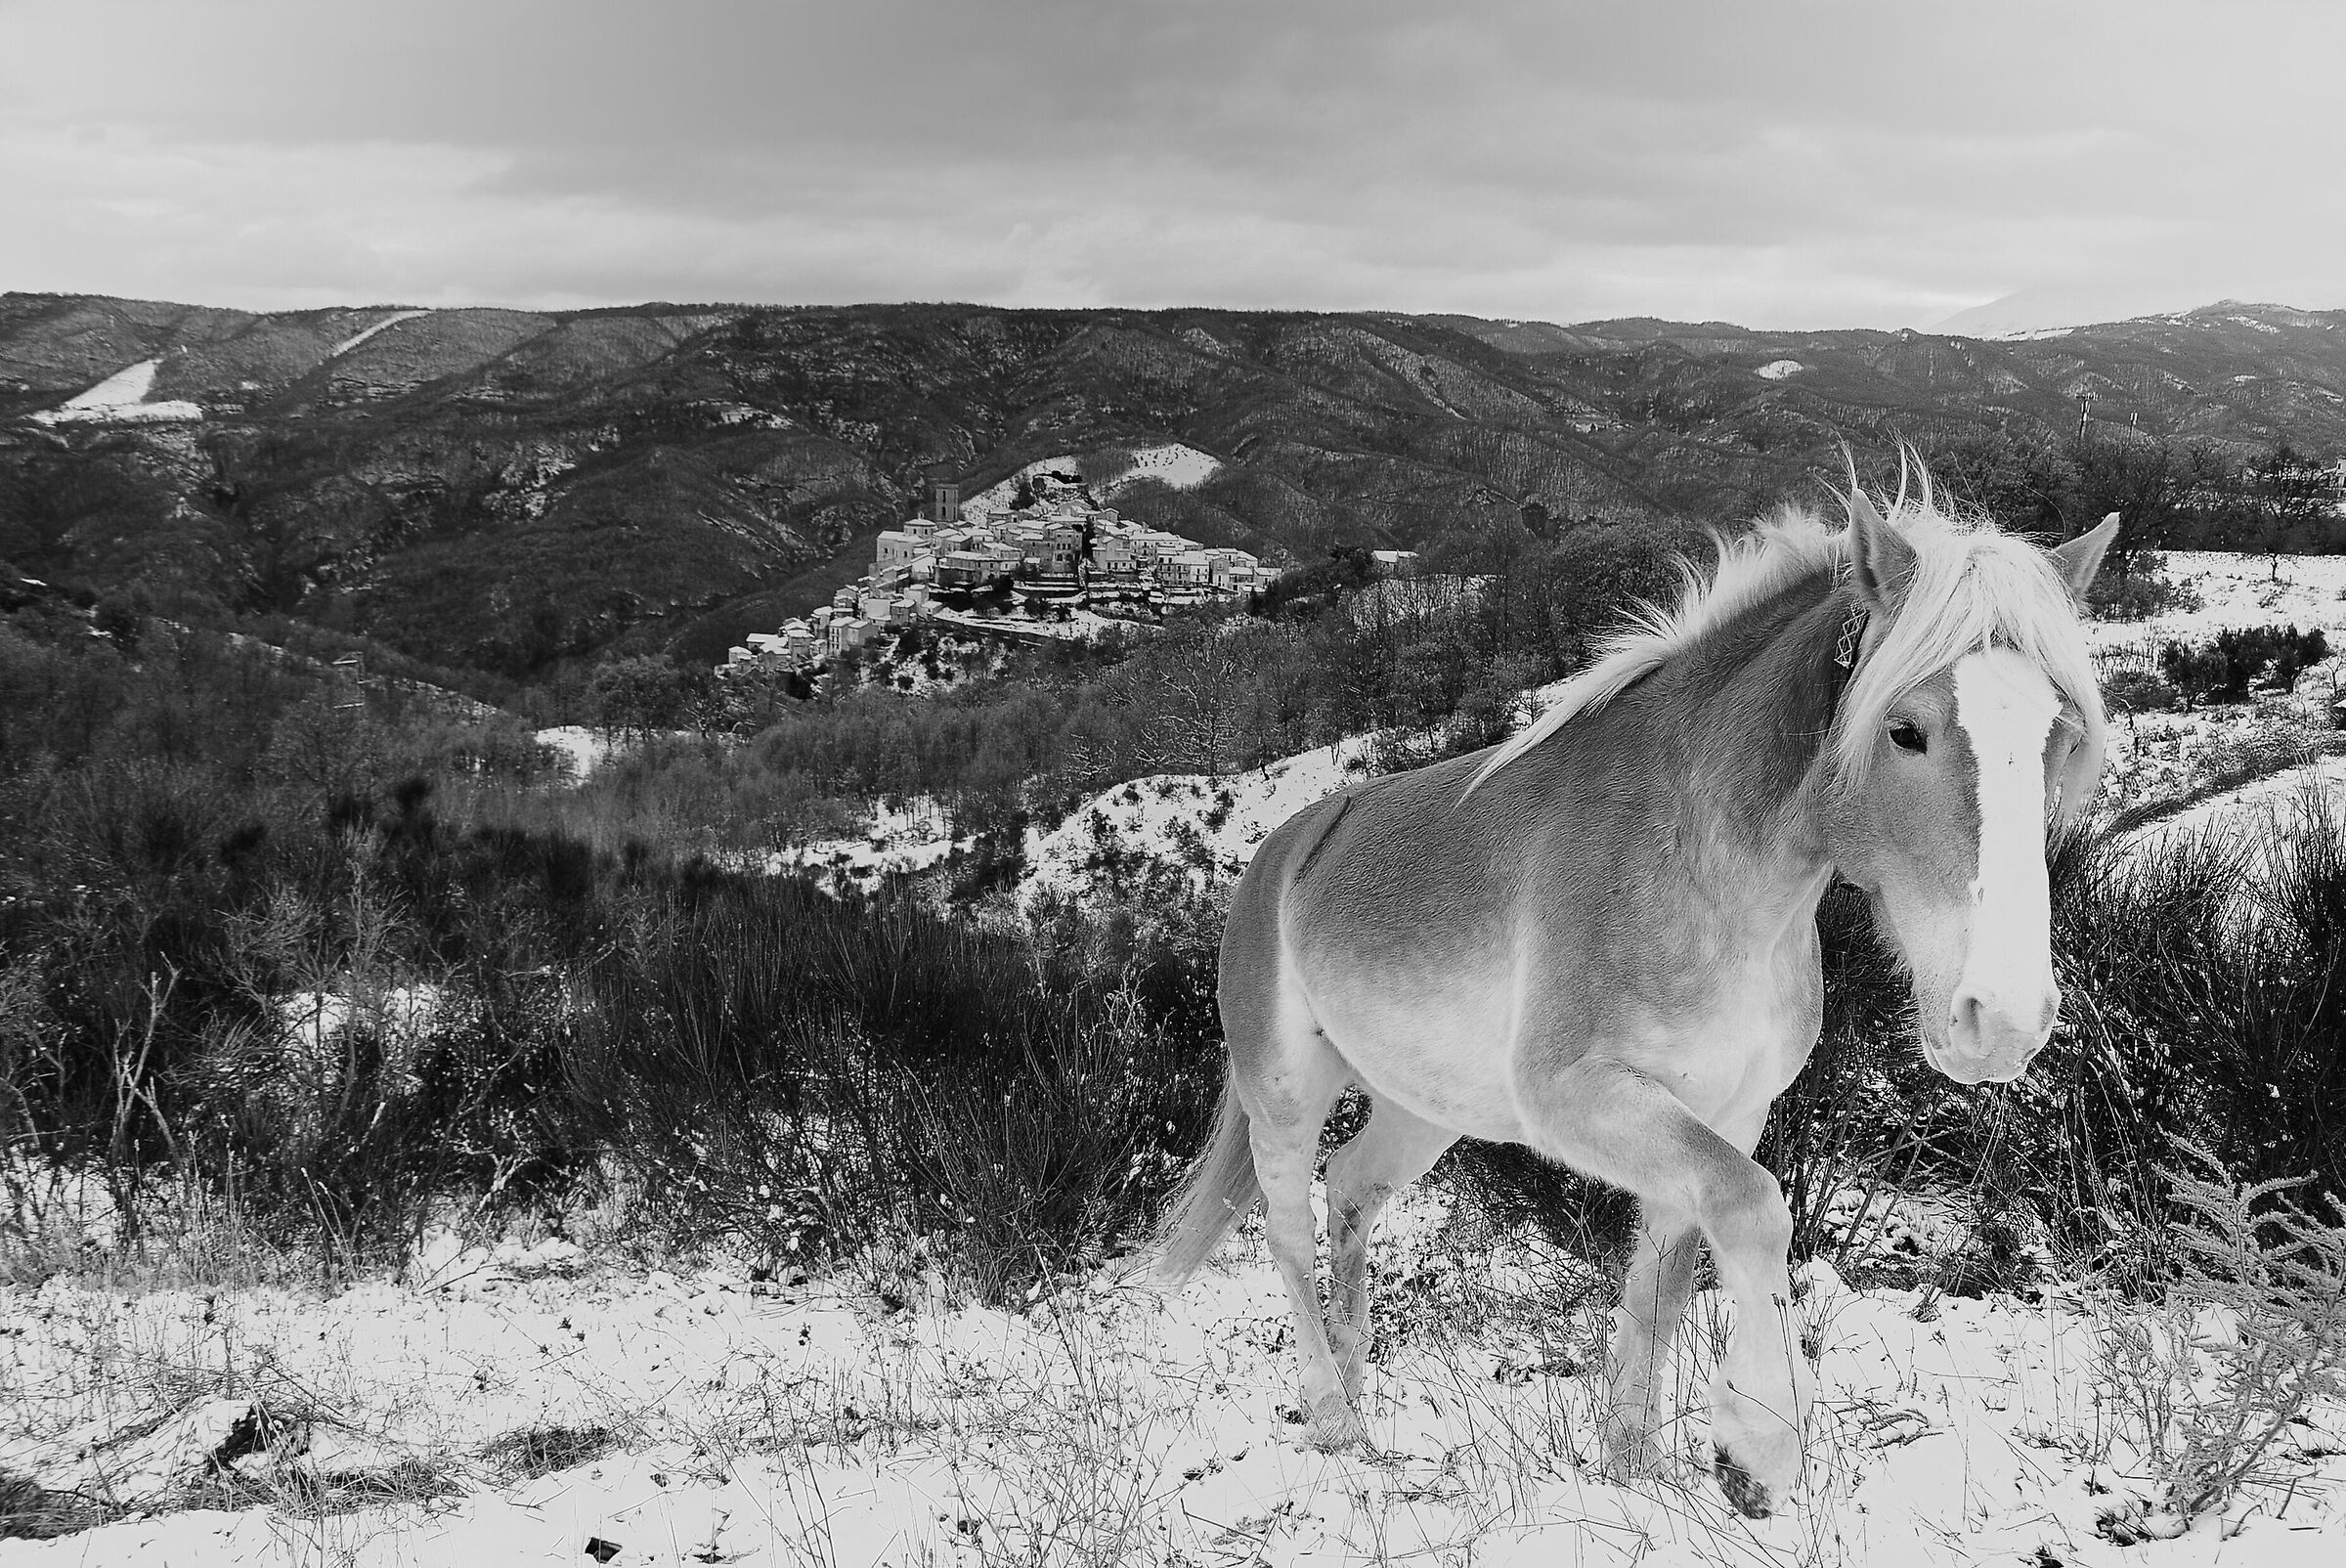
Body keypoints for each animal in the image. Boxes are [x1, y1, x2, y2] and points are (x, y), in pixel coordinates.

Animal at [1147, 479, 2117, 1517]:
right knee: (1288, 1227)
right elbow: (1755, 1212)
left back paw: (1360, 1393)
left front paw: (1633, 1467)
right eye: (1906, 729)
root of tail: (1281, 852)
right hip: (1285, 1093)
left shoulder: (1722, 1113)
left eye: (2060, 736)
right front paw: (1759, 1443)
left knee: (1353, 1190)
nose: (2002, 1021)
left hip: (1422, 1108)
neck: (1697, 859)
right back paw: (1332, 1419)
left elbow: (1666, 1278)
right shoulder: (1587, 1099)